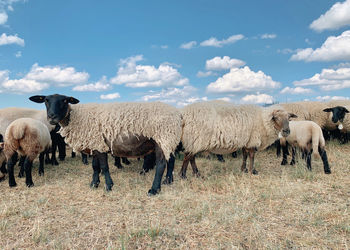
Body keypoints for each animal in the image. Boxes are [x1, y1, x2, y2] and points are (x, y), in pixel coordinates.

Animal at [29, 94, 182, 195]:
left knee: (161, 164)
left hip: (163, 138)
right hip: (169, 140)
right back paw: (168, 181)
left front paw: (108, 186)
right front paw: (94, 184)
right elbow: (95, 167)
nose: (52, 117)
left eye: (65, 100)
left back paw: (154, 189)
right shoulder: (95, 144)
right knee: (171, 161)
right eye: (46, 100)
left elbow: (104, 167)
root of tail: (177, 114)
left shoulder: (99, 144)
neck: (76, 117)